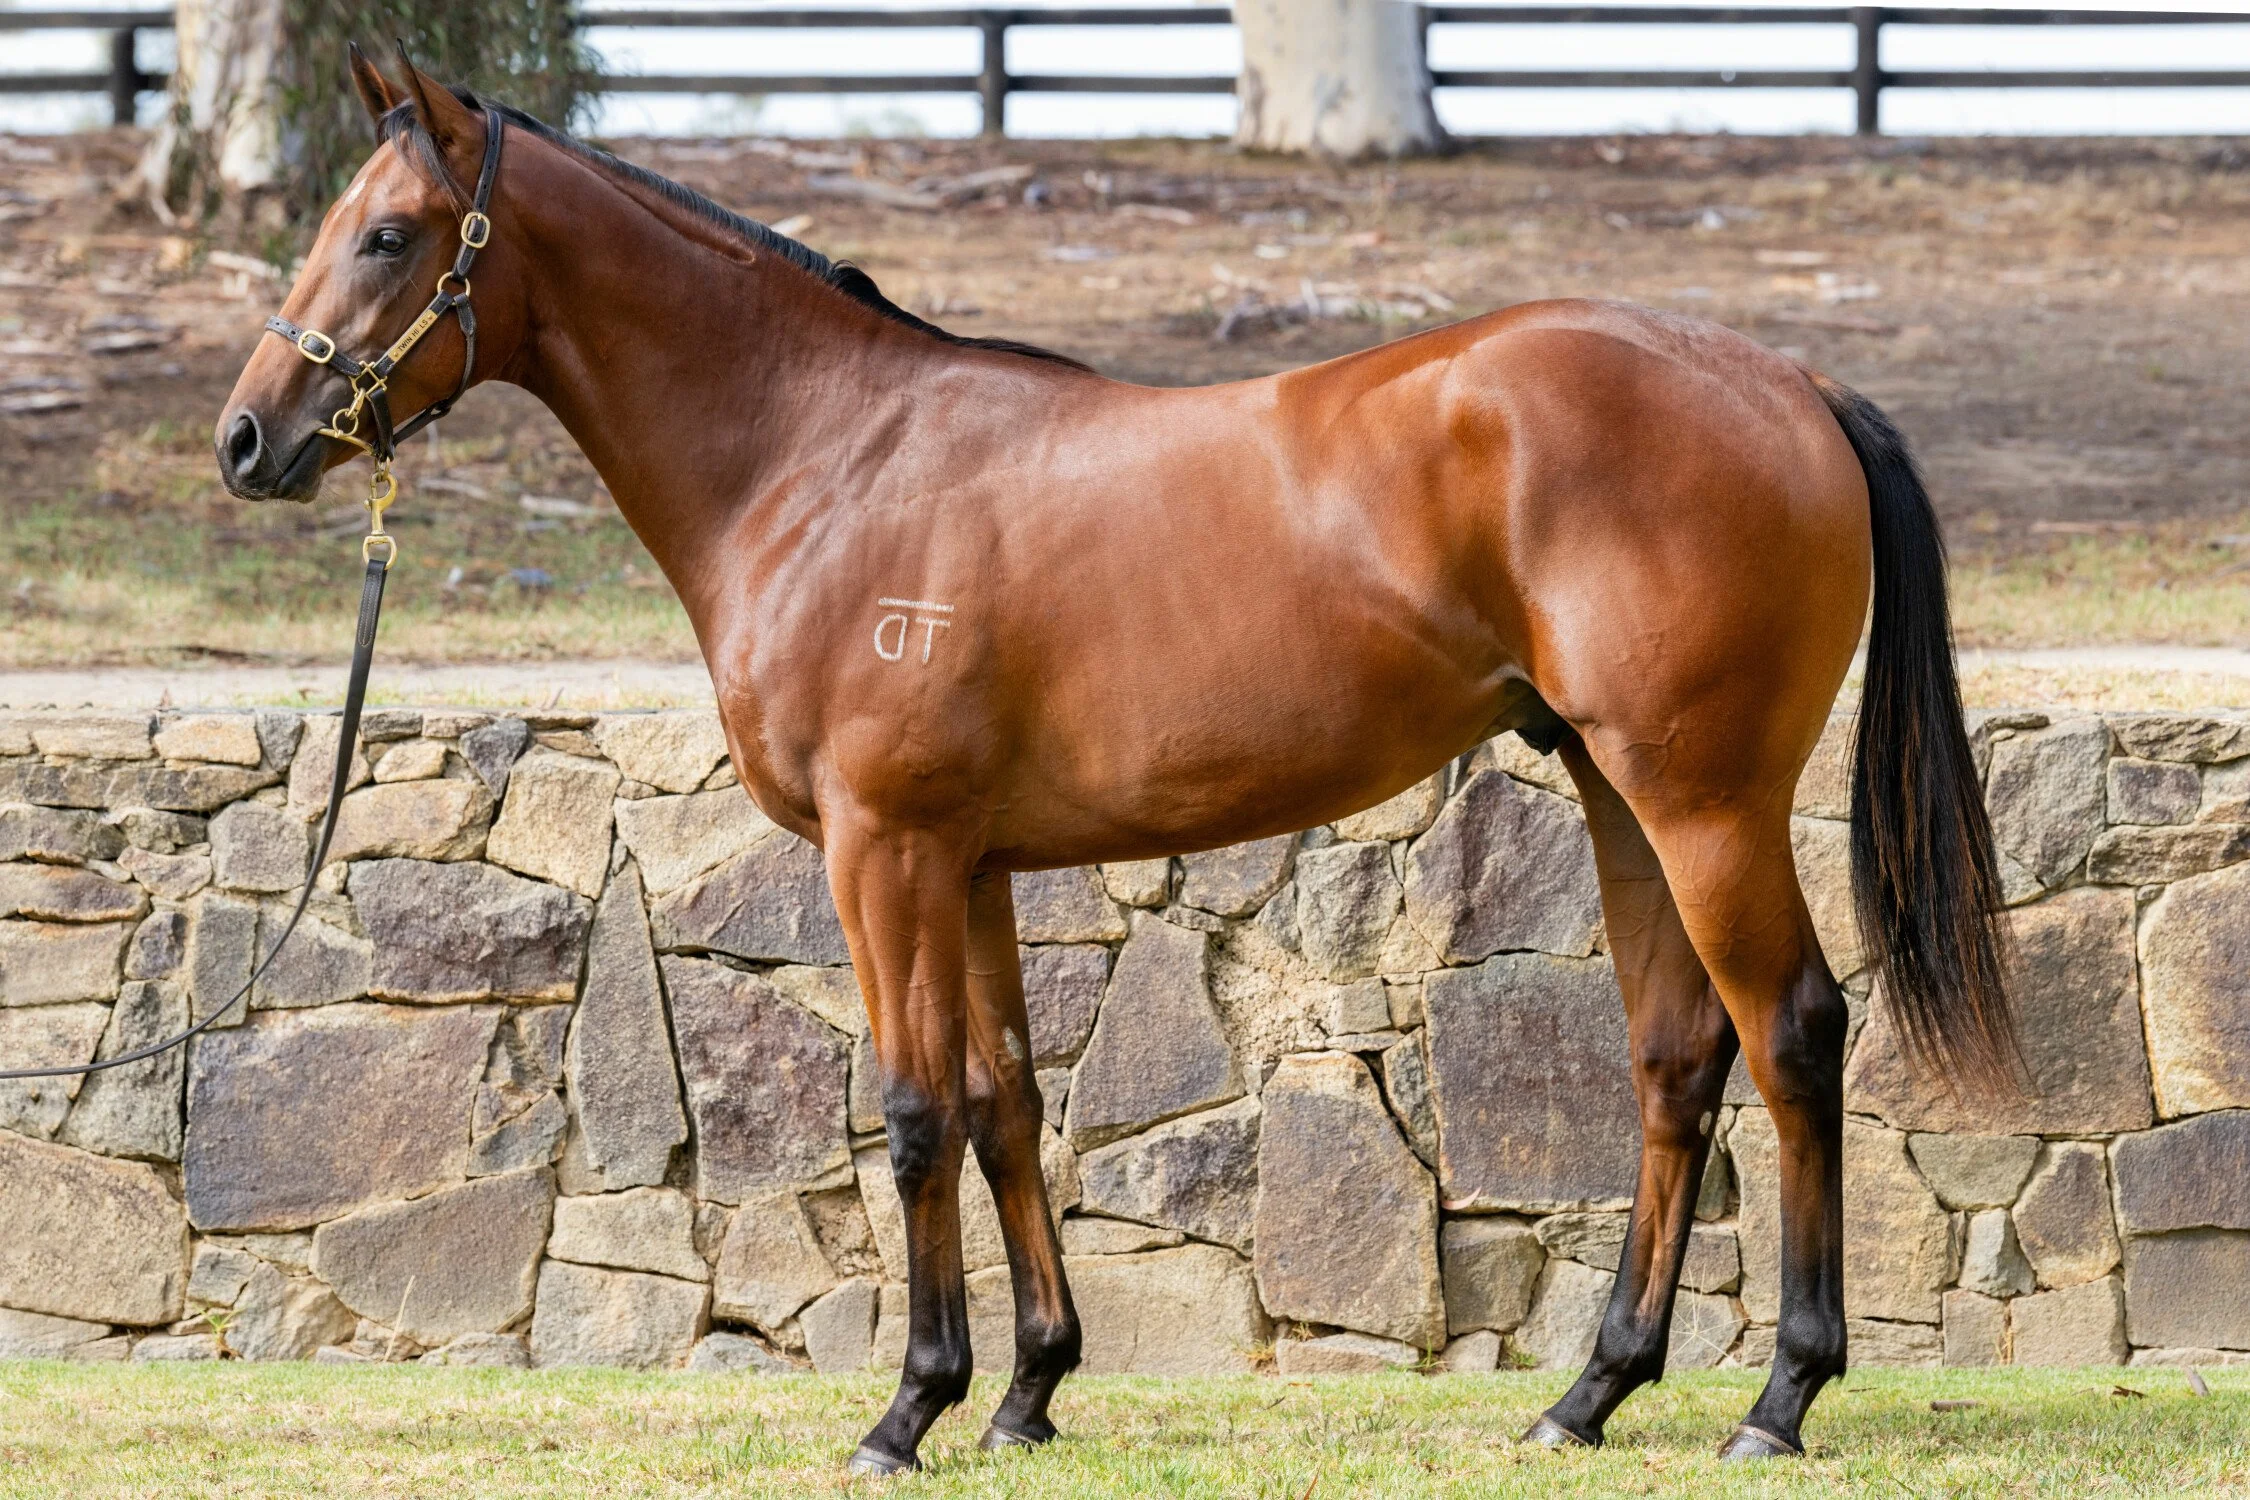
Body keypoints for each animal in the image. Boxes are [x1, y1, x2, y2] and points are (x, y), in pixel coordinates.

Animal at [215, 51, 2012, 1475]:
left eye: (388, 232)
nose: (248, 441)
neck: (825, 459)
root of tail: (1788, 381)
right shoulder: (971, 864)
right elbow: (1006, 1102)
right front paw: (1025, 1392)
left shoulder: (881, 850)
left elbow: (913, 1111)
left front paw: (906, 1412)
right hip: (1614, 791)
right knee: (1673, 1057)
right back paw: (1589, 1393)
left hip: (1703, 801)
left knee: (1791, 1035)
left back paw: (1777, 1399)